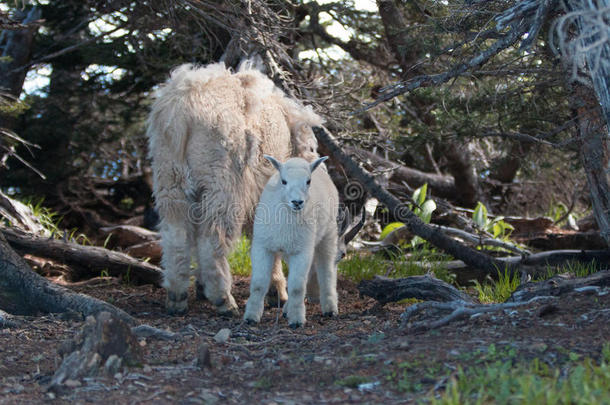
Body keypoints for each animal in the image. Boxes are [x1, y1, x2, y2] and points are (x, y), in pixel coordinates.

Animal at [146, 62, 324, 316]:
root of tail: (182, 113)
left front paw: (200, 287)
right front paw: (276, 292)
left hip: (169, 176)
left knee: (176, 235)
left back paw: (177, 297)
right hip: (222, 179)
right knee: (212, 239)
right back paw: (224, 299)